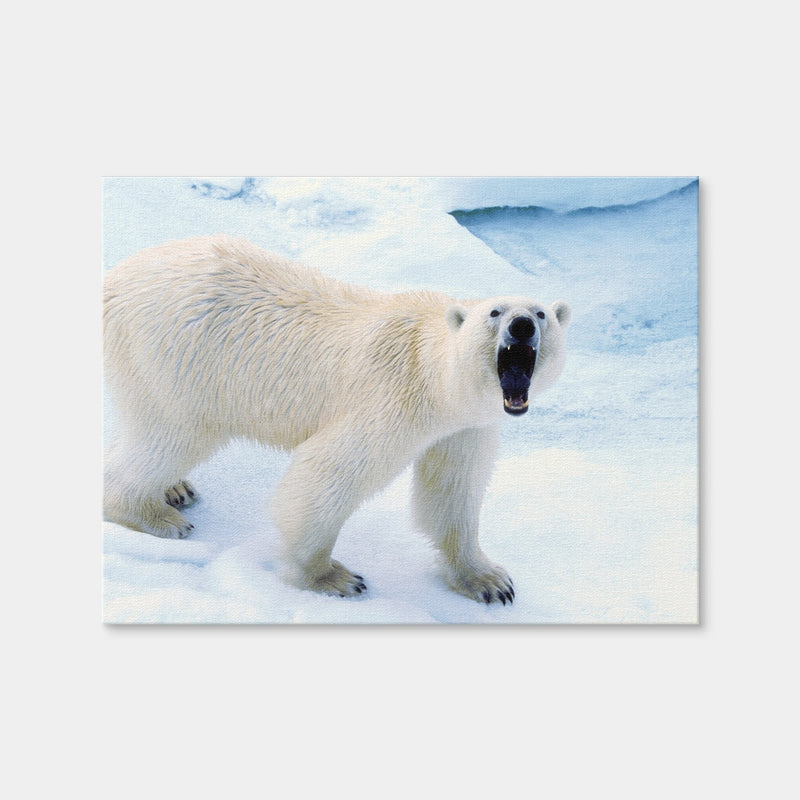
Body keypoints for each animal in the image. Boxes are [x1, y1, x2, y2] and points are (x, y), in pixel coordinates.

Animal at [103, 235, 571, 604]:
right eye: (494, 312)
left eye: (541, 313)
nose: (522, 325)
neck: (435, 374)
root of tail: (115, 276)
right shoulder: (392, 400)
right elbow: (327, 474)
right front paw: (333, 577)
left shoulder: (465, 426)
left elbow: (452, 492)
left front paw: (489, 581)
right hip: (177, 357)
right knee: (172, 435)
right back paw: (154, 514)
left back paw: (175, 489)